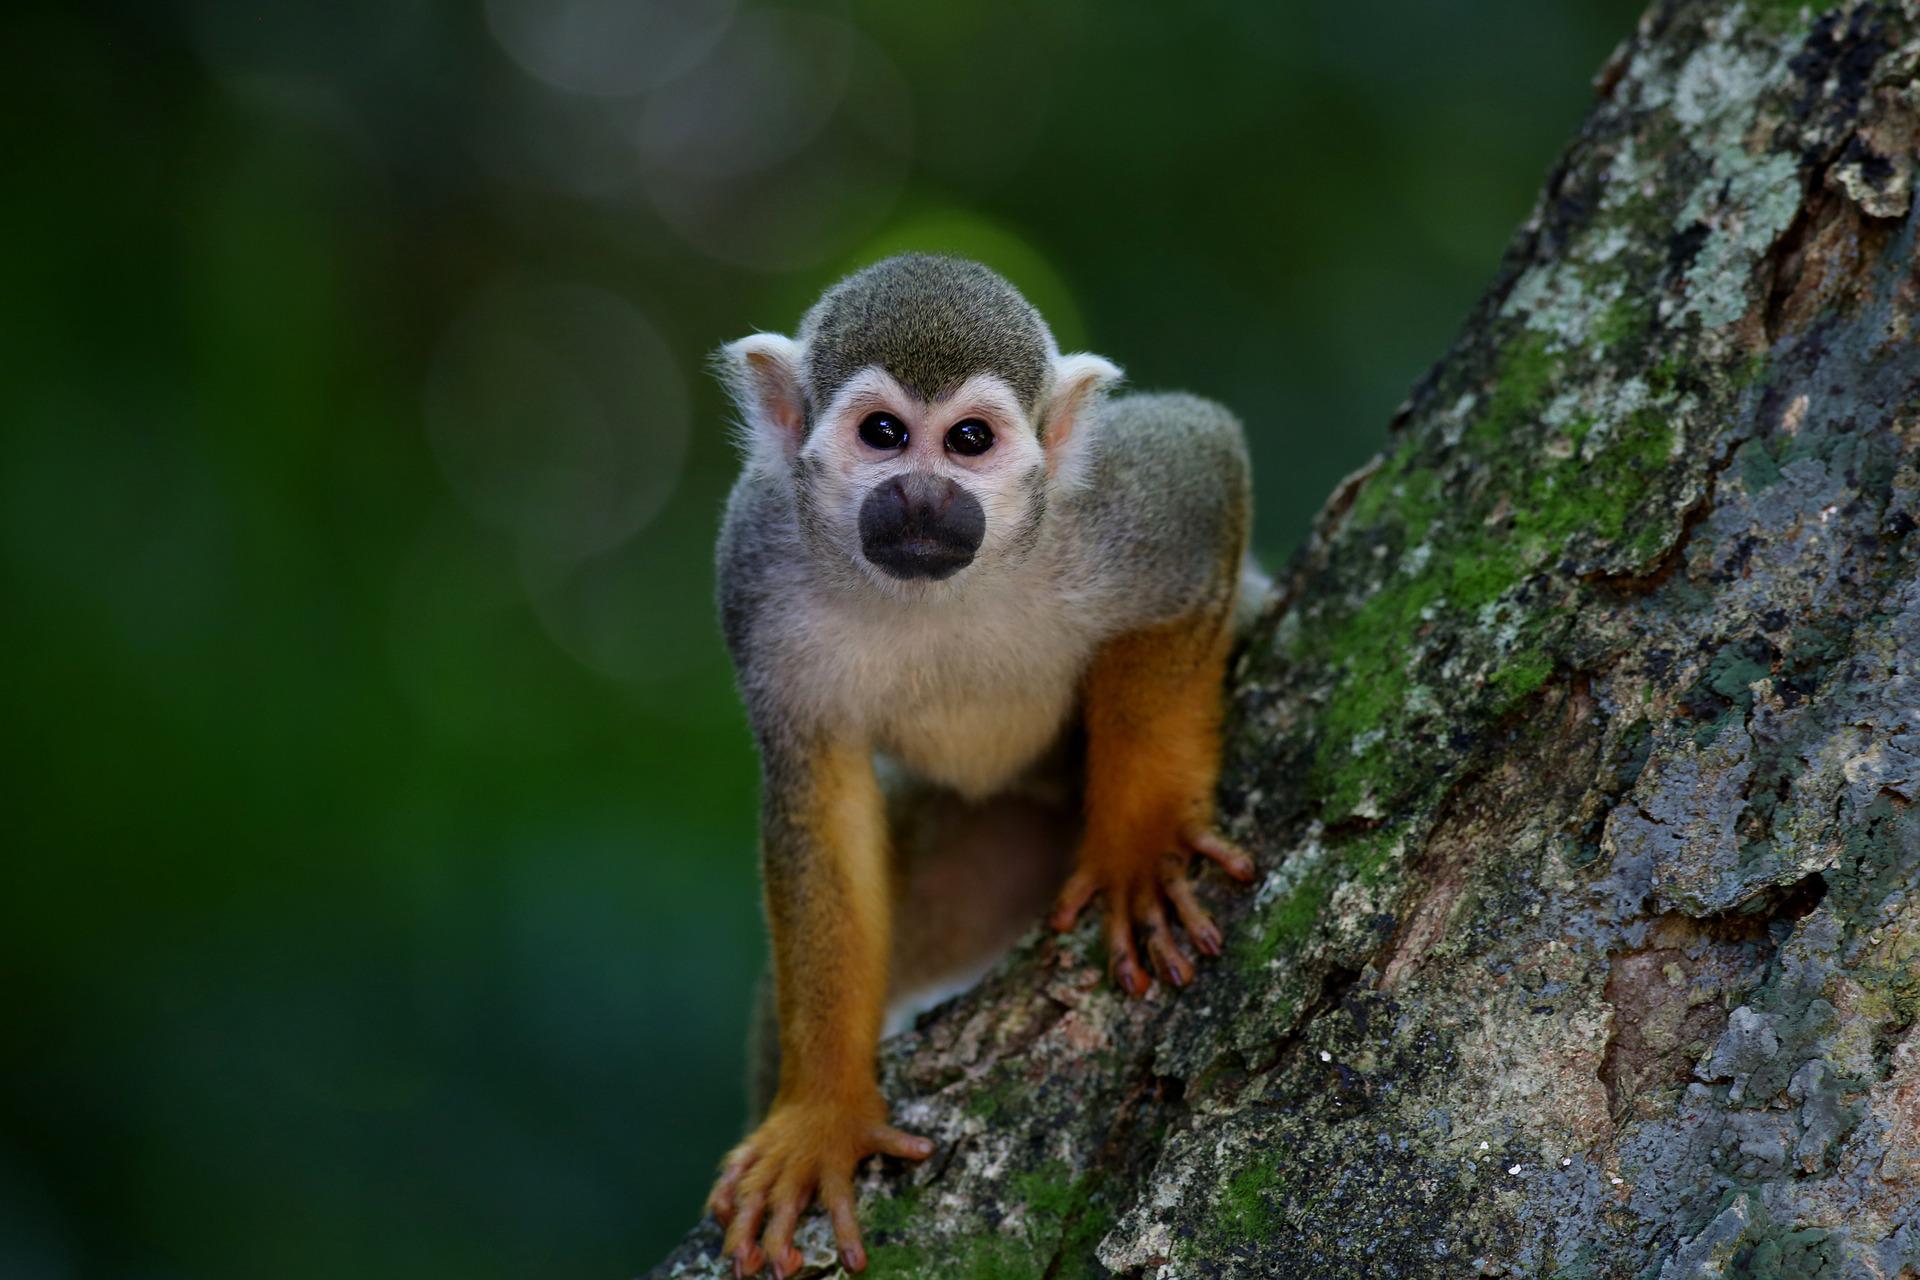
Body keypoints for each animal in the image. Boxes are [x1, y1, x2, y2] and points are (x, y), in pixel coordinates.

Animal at [707, 254, 1260, 1276]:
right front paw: (823, 1113)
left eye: (970, 440)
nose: (924, 499)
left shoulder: (1119, 504)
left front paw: (1140, 845)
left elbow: (1206, 464)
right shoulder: (754, 562)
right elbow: (818, 797)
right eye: (884, 435)